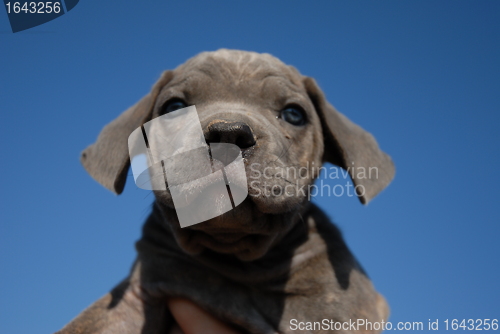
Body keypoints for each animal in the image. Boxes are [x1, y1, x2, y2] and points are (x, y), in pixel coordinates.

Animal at [56, 48, 394, 332]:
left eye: (294, 114)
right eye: (174, 107)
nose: (229, 134)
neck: (234, 259)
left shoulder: (335, 312)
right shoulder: (134, 298)